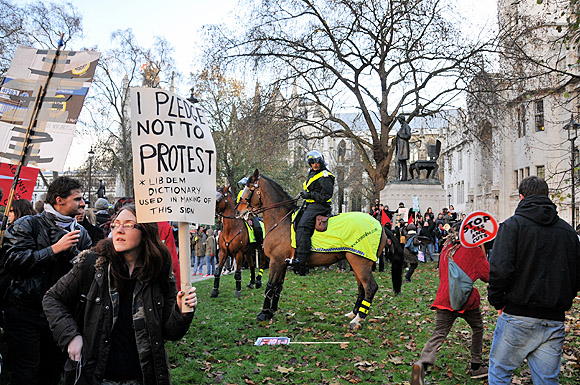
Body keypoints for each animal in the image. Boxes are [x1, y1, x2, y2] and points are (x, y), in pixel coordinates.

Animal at [238, 170, 388, 328]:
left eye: (249, 188)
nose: (238, 210)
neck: (281, 221)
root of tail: (379, 225)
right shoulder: (283, 263)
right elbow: (278, 286)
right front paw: (271, 312)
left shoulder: (276, 261)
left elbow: (270, 286)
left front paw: (264, 313)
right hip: (356, 262)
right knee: (361, 288)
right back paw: (354, 313)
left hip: (360, 262)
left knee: (370, 287)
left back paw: (358, 318)